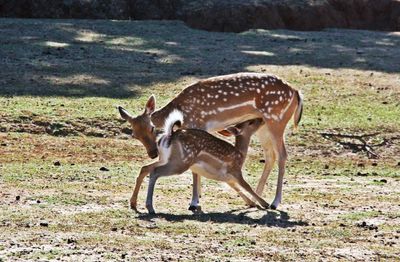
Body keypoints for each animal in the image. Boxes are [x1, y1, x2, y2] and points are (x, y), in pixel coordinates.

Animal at [135, 112, 268, 213]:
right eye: (250, 122)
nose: (261, 119)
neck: (240, 154)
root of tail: (170, 135)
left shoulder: (226, 177)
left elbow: (237, 188)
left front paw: (251, 203)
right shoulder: (235, 170)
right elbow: (247, 186)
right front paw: (265, 204)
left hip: (165, 159)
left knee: (146, 168)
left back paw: (135, 204)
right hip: (181, 163)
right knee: (155, 172)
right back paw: (150, 208)